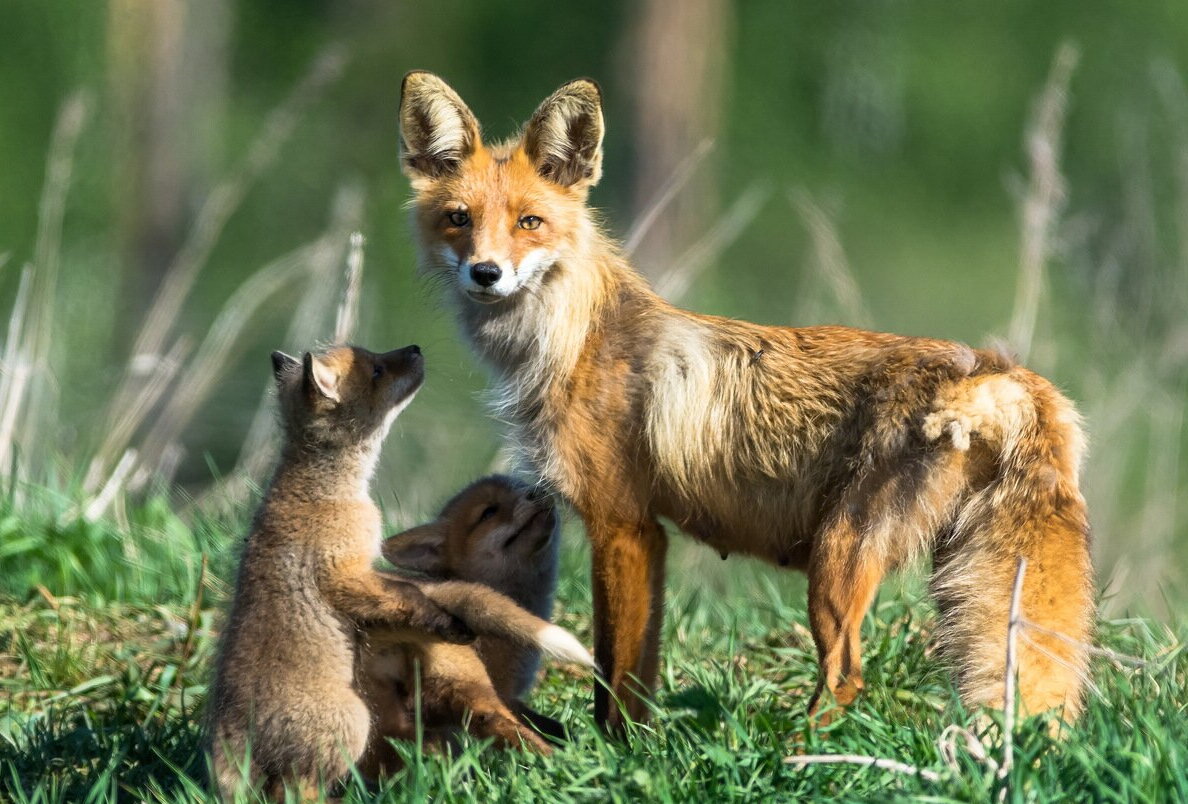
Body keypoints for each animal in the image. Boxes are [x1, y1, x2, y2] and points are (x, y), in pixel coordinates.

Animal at [396, 72, 1092, 731]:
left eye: (529, 222)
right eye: (459, 218)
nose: (486, 274)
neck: (570, 343)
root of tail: (1003, 373)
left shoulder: (622, 524)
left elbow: (611, 678)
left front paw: (614, 753)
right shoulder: (651, 538)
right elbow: (640, 679)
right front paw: (643, 751)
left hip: (838, 560)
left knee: (845, 678)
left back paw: (800, 756)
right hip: (945, 572)